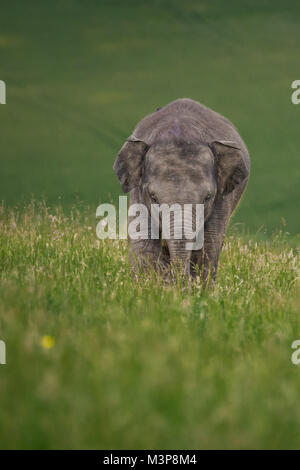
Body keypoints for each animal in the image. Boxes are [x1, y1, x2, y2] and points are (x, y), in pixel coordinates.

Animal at [113, 98, 250, 282]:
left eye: (207, 198)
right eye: (154, 198)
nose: (179, 281)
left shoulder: (221, 200)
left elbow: (209, 243)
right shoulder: (138, 193)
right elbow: (143, 238)